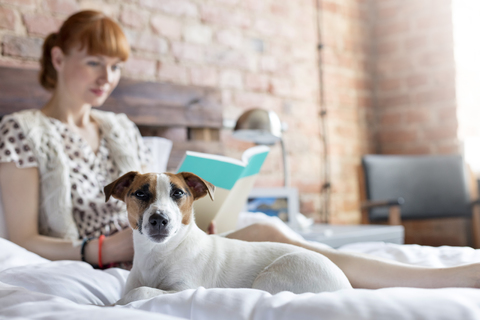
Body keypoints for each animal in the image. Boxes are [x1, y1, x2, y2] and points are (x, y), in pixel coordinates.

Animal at [105, 171, 350, 304]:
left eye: (178, 193)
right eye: (140, 193)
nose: (159, 219)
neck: (161, 253)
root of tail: (345, 287)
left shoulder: (184, 289)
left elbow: (140, 292)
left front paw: (115, 304)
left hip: (272, 277)